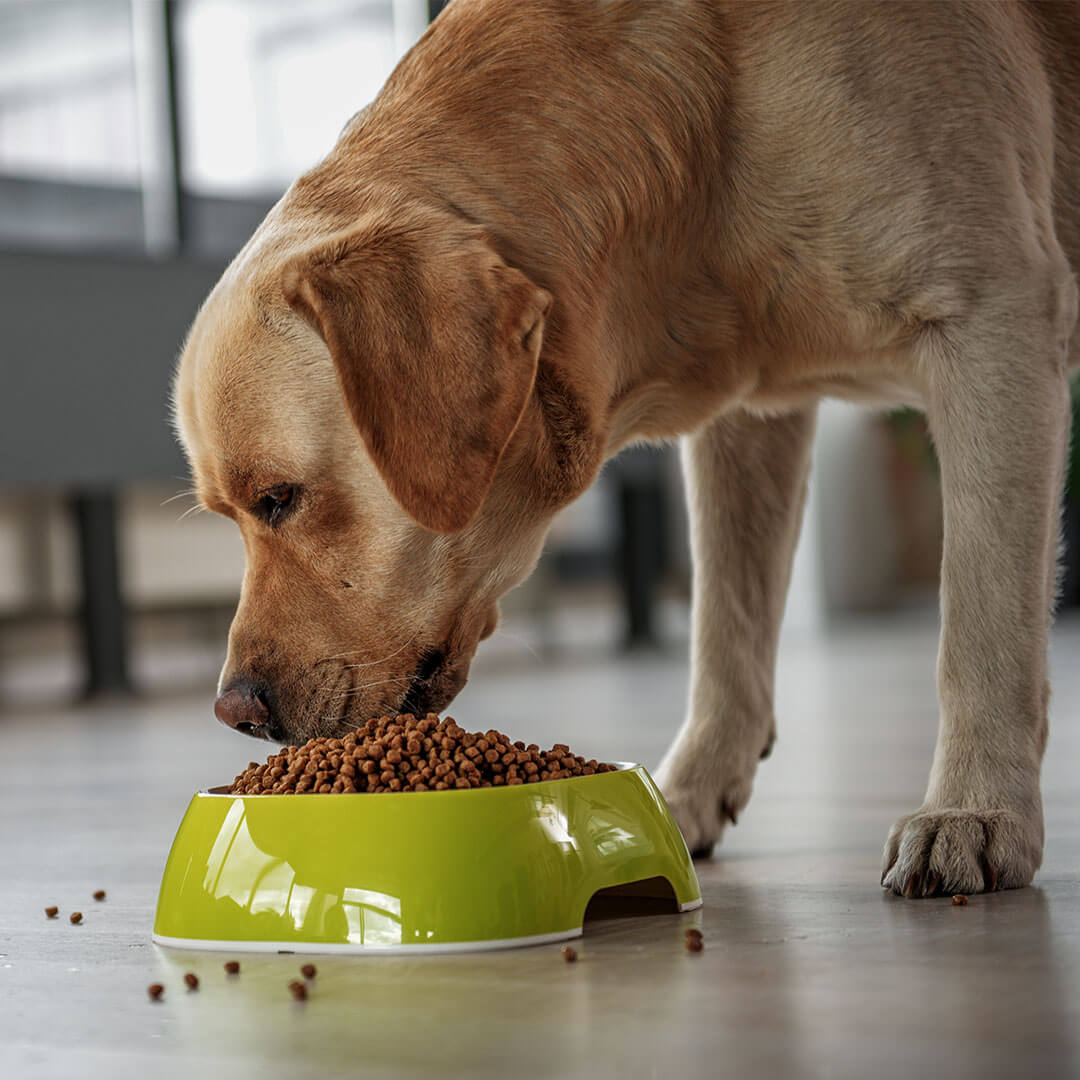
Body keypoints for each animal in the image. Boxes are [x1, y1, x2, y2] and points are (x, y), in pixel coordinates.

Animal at [172, 0, 1075, 898]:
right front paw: (682, 798)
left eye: (279, 499)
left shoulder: (993, 321)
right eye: (227, 515)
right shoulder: (752, 417)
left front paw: (977, 810)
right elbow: (725, 630)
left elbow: (981, 620)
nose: (235, 711)